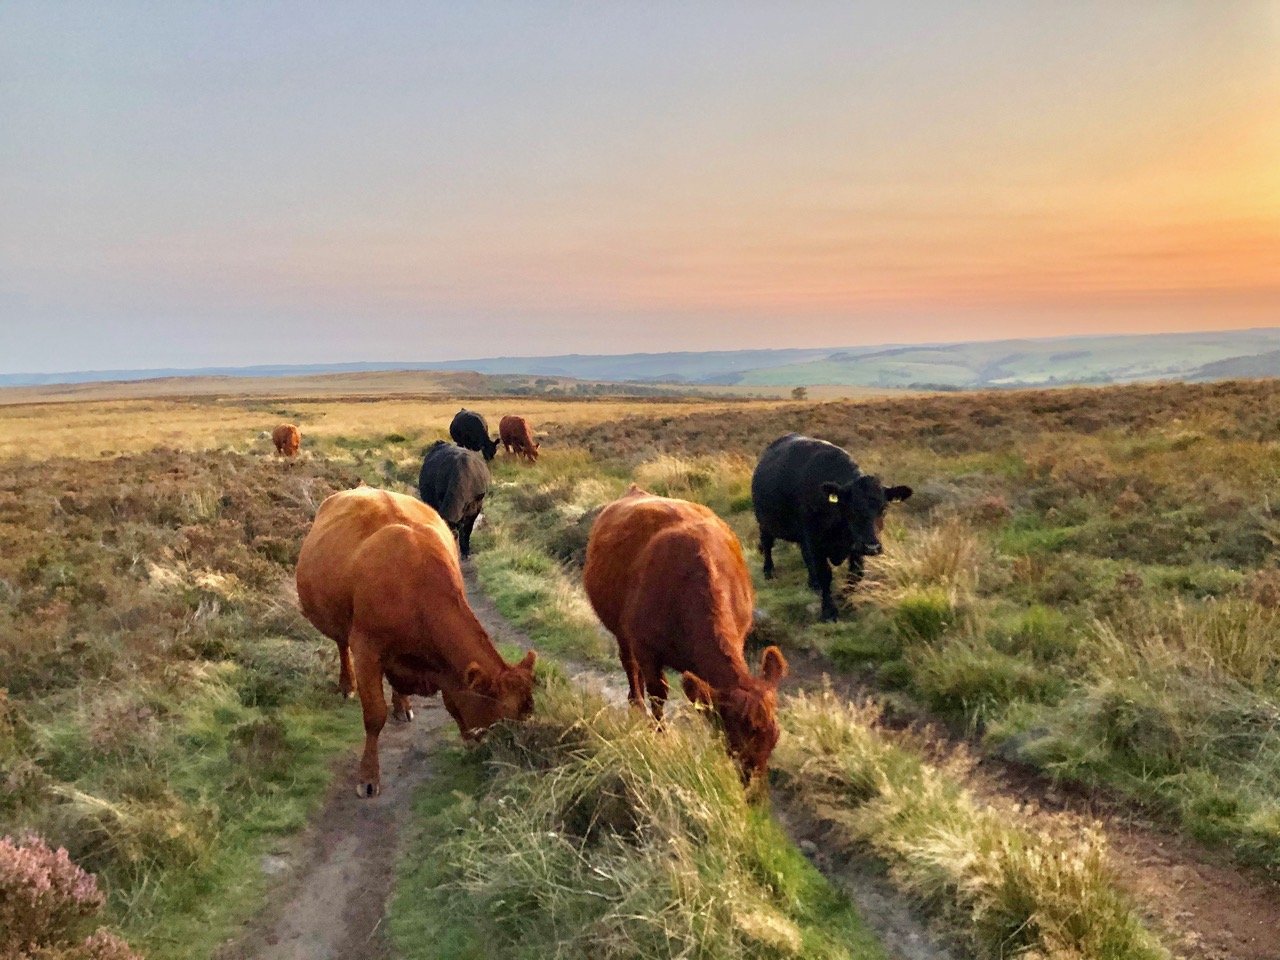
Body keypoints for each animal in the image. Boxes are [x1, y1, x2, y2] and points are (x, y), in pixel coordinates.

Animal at [296, 486, 537, 797]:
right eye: (503, 718)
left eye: (529, 713)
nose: (523, 762)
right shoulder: (366, 649)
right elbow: (374, 715)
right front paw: (368, 776)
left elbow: (451, 701)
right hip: (338, 620)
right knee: (340, 644)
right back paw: (347, 685)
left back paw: (403, 704)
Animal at [583, 486, 788, 780]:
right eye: (733, 739)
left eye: (775, 738)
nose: (751, 784)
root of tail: (635, 491)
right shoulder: (646, 647)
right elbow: (658, 694)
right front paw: (659, 735)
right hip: (621, 629)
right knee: (630, 664)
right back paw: (636, 704)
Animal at [751, 433, 912, 622]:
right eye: (850, 509)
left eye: (884, 508)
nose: (872, 546)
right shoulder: (815, 543)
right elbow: (825, 574)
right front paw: (829, 612)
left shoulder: (855, 545)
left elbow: (855, 574)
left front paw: (847, 600)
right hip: (764, 523)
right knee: (768, 546)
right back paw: (769, 572)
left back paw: (812, 584)